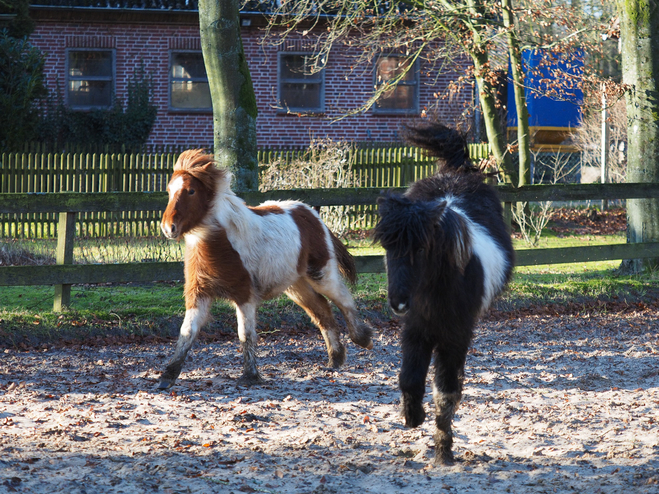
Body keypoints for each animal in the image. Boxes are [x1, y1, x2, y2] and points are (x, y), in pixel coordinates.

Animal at [158, 149, 374, 388]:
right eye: (169, 190)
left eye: (191, 191)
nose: (168, 228)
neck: (221, 241)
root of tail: (311, 214)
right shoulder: (198, 293)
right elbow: (186, 332)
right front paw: (167, 377)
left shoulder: (244, 294)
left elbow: (246, 334)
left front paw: (250, 376)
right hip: (296, 285)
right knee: (322, 312)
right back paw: (335, 359)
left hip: (320, 274)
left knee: (343, 299)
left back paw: (363, 339)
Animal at [374, 121, 520, 466]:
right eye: (387, 248)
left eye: (421, 248)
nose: (398, 303)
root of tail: (455, 172)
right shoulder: (416, 330)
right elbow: (409, 378)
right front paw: (413, 417)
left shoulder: (454, 336)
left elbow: (446, 393)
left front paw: (443, 450)